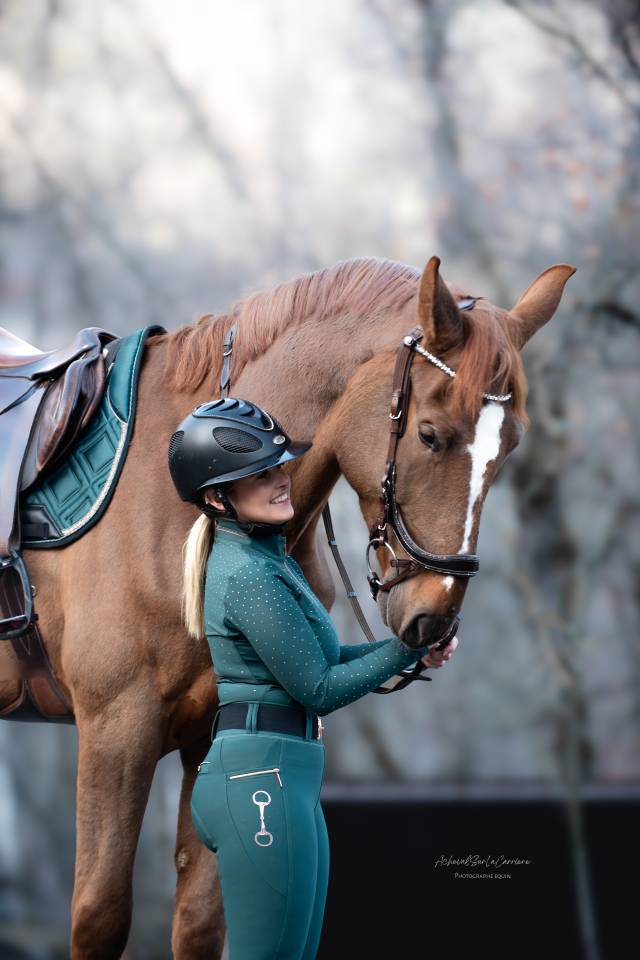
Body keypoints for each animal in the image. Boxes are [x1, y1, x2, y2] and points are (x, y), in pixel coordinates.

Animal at [0, 254, 575, 958]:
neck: (179, 502)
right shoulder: (116, 731)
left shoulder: (209, 736)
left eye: (510, 448)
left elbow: (200, 922)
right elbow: (100, 916)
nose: (434, 620)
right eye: (431, 436)